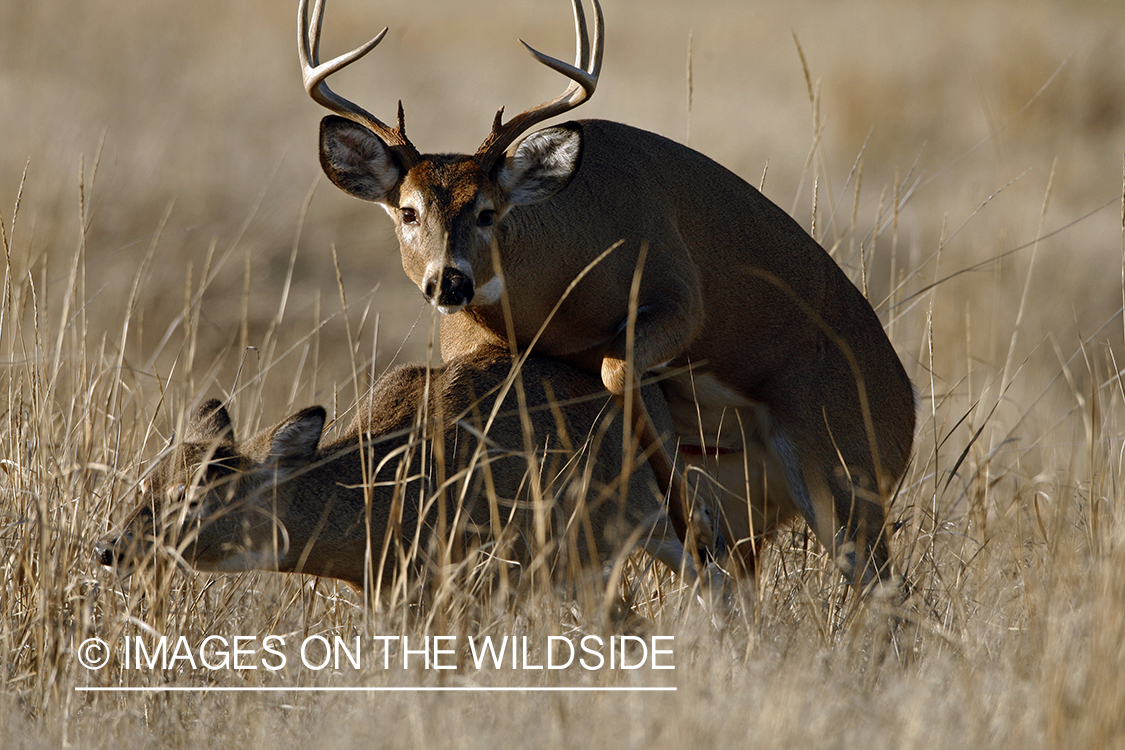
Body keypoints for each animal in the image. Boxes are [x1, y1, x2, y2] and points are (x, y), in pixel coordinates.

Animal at [299, 0, 916, 590]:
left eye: (488, 212)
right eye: (408, 211)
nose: (450, 281)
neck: (557, 293)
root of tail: (907, 410)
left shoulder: (678, 288)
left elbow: (618, 370)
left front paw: (689, 516)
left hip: (847, 477)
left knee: (886, 593)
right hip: (773, 506)